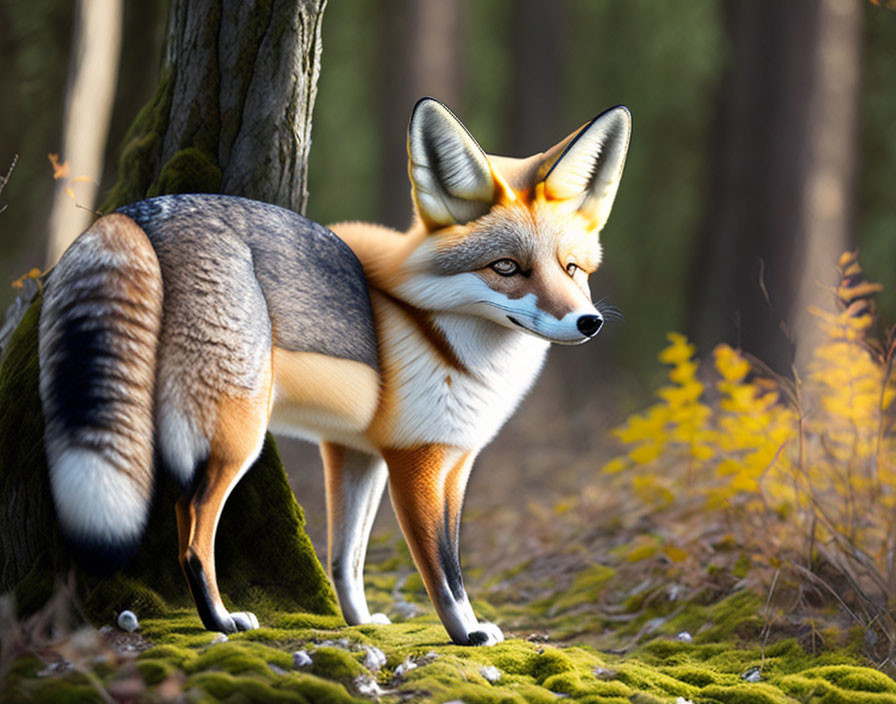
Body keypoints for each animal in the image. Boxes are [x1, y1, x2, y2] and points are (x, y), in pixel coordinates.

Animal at [38, 96, 632, 648]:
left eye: (572, 269)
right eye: (507, 268)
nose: (590, 322)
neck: (444, 341)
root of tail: (135, 211)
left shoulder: (375, 454)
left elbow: (346, 557)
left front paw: (360, 621)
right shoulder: (418, 461)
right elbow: (444, 569)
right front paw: (464, 632)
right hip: (236, 435)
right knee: (190, 529)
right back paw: (220, 621)